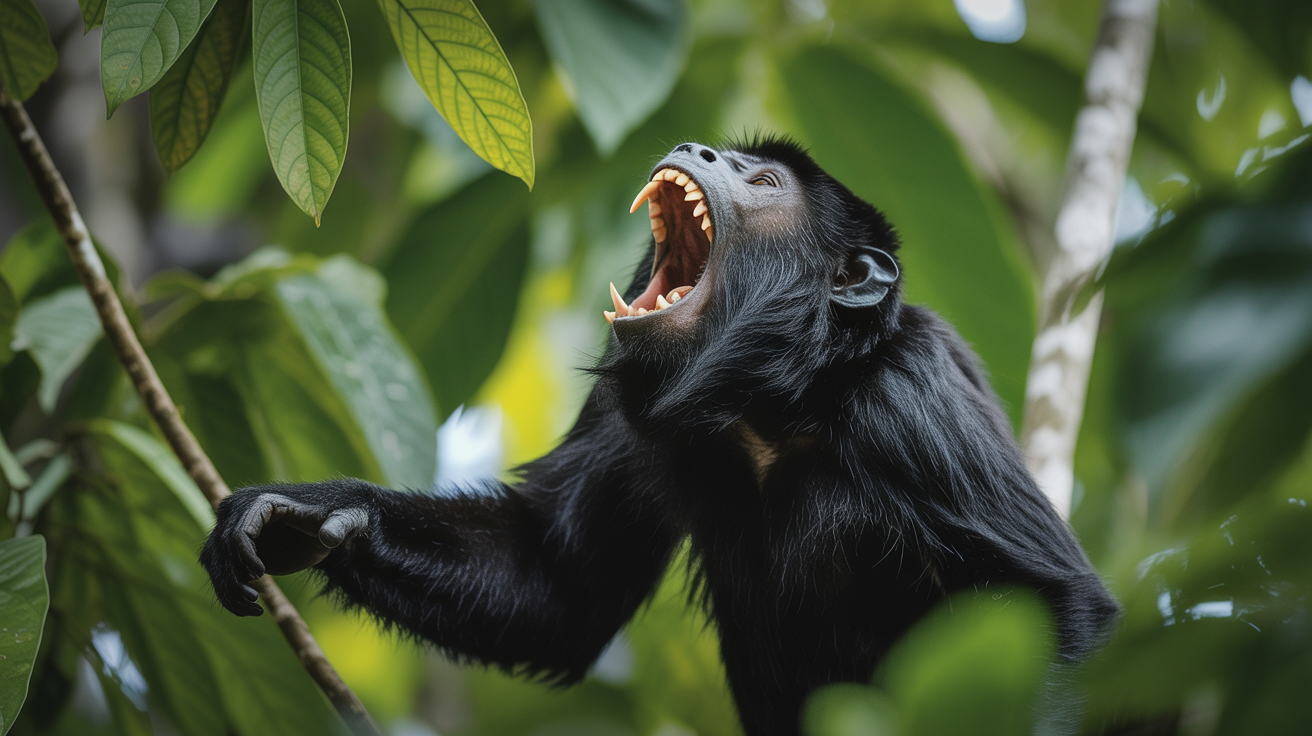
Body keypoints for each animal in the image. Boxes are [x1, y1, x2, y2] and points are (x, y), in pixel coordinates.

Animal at [201, 137, 1119, 736]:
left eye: (761, 178)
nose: (693, 147)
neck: (772, 404)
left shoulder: (909, 396)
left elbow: (1056, 600)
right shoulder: (628, 415)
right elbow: (557, 586)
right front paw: (315, 512)